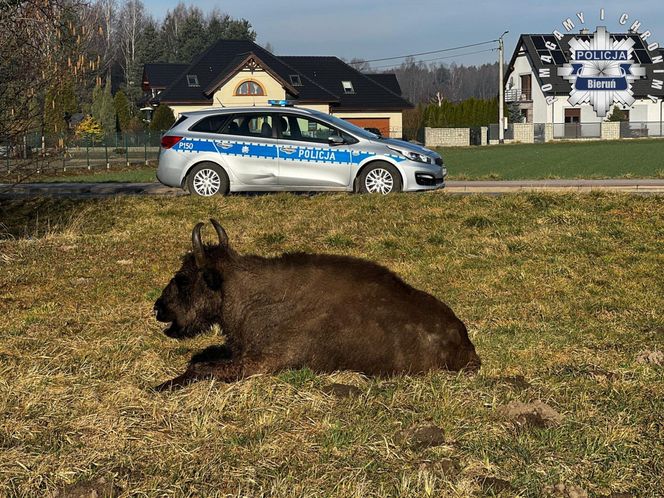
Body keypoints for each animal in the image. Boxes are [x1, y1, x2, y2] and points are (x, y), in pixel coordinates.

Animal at [153, 220, 480, 392]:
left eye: (183, 278)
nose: (158, 307)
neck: (241, 291)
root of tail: (464, 341)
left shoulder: (259, 364)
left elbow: (200, 368)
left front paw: (161, 385)